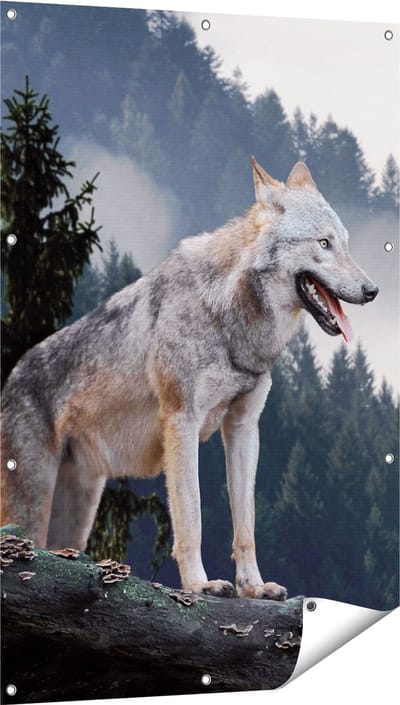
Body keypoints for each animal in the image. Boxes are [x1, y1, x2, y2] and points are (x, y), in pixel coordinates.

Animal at [1, 158, 378, 599]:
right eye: (323, 243)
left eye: (345, 244)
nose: (373, 290)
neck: (229, 318)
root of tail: (12, 375)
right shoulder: (182, 421)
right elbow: (192, 517)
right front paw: (200, 584)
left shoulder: (244, 428)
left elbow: (246, 525)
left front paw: (254, 587)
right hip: (32, 507)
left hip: (76, 516)